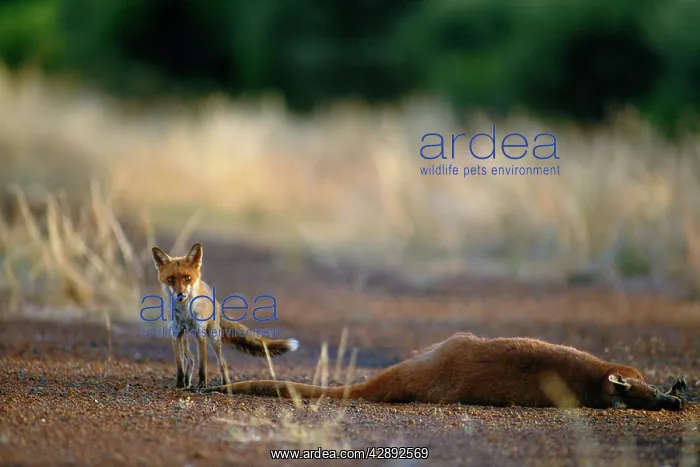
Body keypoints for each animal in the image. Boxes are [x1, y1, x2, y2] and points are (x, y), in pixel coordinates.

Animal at [151, 242, 299, 389]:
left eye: (187, 278)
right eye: (170, 279)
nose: (180, 295)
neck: (184, 311)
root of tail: (215, 299)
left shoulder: (200, 332)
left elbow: (203, 365)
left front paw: (202, 385)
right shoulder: (176, 333)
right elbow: (179, 365)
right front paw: (179, 384)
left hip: (214, 337)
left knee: (222, 362)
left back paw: (225, 385)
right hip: (186, 336)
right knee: (190, 359)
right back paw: (187, 383)